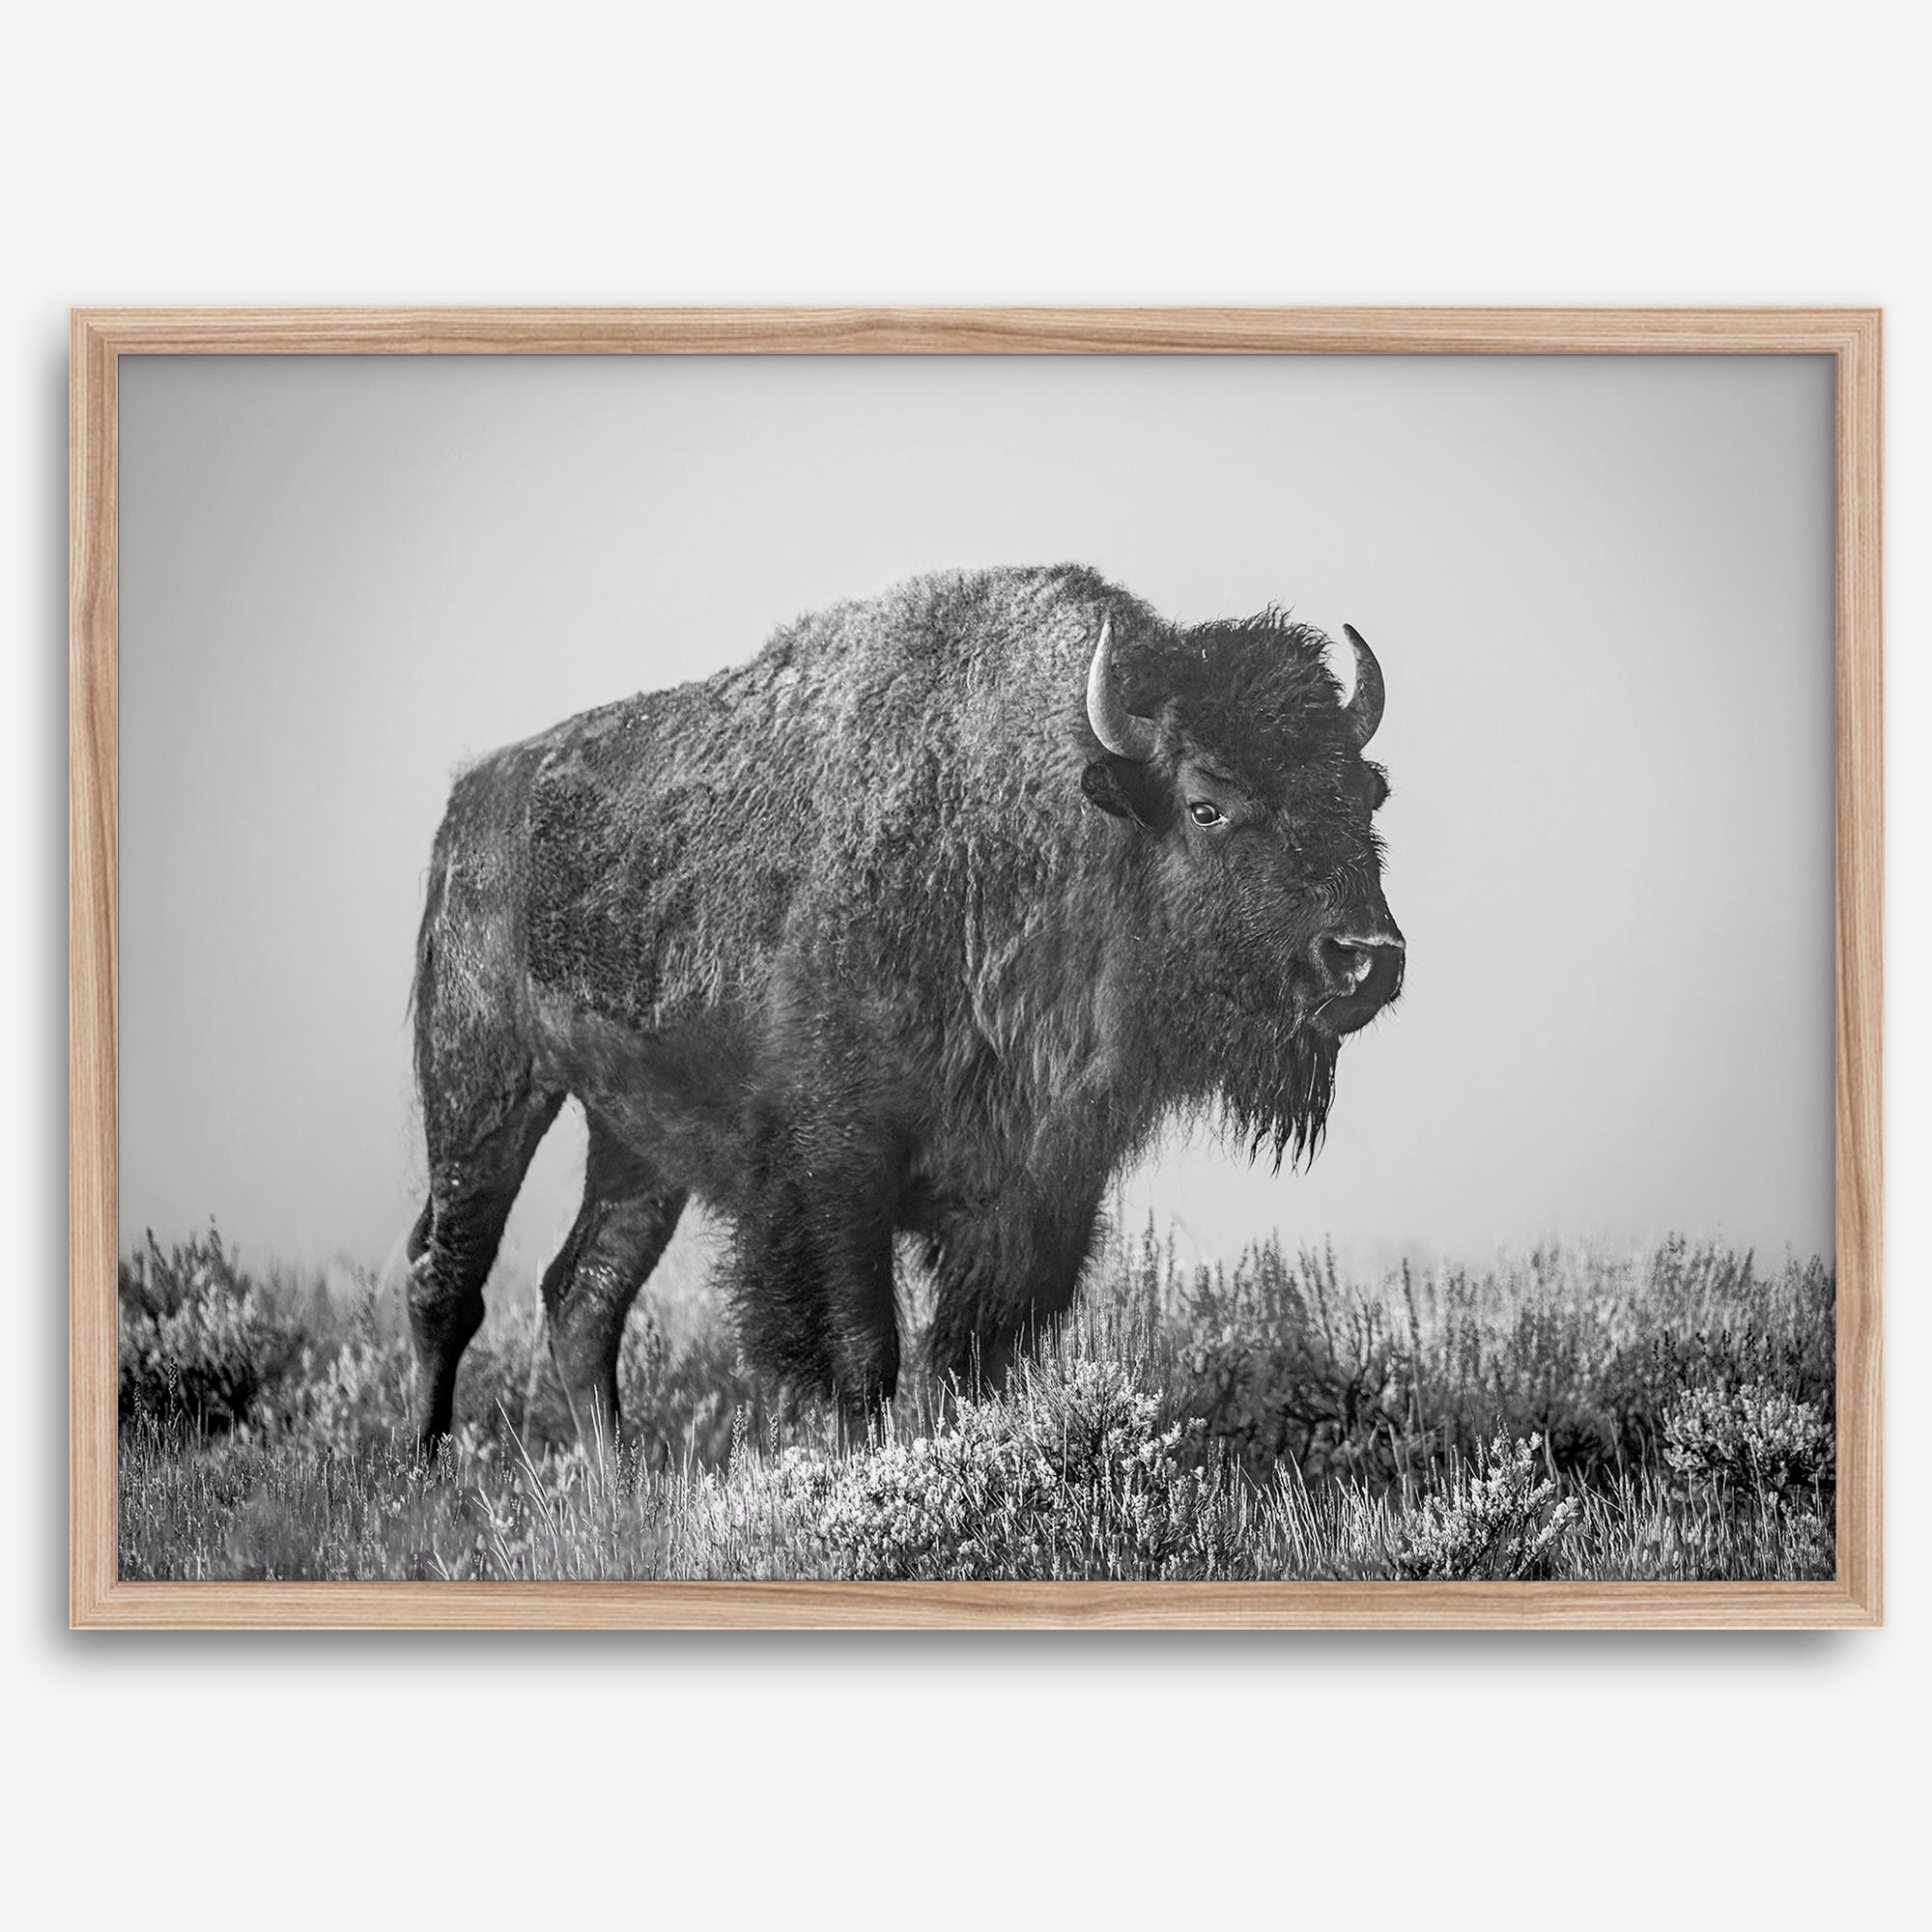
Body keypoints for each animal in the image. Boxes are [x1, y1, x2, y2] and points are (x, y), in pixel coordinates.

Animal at [405, 564, 1403, 1451]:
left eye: (1363, 794)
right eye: (1206, 806)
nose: (1365, 959)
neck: (1030, 835)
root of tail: (473, 798)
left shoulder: (1034, 1198)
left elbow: (971, 1362)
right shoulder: (835, 1172)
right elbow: (861, 1355)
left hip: (634, 1139)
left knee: (586, 1291)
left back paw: (614, 1488)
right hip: (482, 1089)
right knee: (446, 1278)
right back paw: (428, 1473)